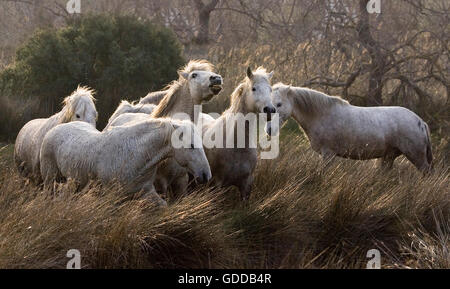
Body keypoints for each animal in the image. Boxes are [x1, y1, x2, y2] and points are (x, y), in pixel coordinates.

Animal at [39, 117, 212, 205]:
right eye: (191, 145)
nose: (206, 175)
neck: (134, 154)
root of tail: (52, 131)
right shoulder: (114, 197)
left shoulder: (145, 191)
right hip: (50, 179)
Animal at [268, 82, 432, 171]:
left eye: (279, 104)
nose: (269, 130)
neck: (321, 114)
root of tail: (421, 122)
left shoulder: (328, 154)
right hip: (389, 157)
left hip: (417, 157)